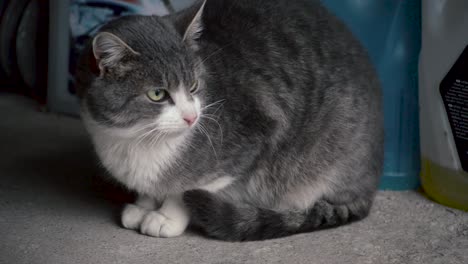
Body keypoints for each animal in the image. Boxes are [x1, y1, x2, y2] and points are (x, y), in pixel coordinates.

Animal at [77, 0, 384, 241]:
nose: (192, 116)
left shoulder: (253, 138)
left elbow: (187, 189)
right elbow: (151, 189)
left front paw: (165, 216)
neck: (132, 139)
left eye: (193, 86)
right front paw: (144, 205)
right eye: (157, 94)